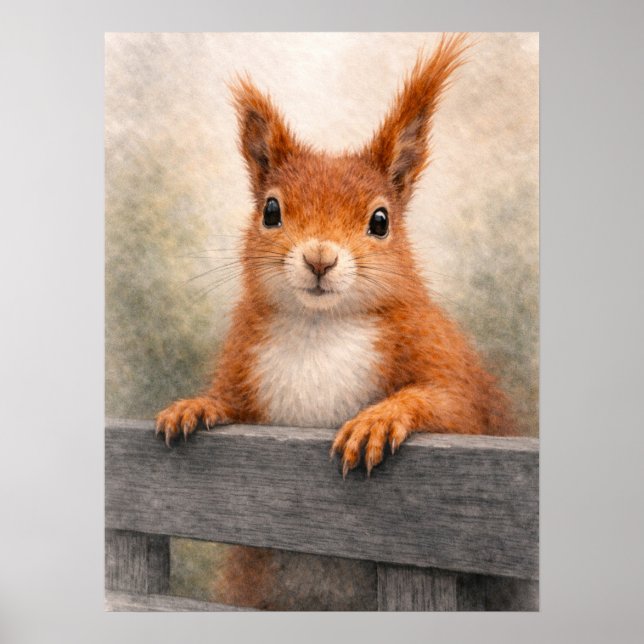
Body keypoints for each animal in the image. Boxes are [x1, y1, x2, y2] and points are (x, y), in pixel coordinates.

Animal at [155, 33, 516, 608]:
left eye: (381, 220)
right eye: (271, 211)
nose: (320, 258)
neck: (318, 330)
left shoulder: (444, 362)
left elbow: (452, 403)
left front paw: (378, 420)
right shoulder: (246, 363)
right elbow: (232, 402)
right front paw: (196, 406)